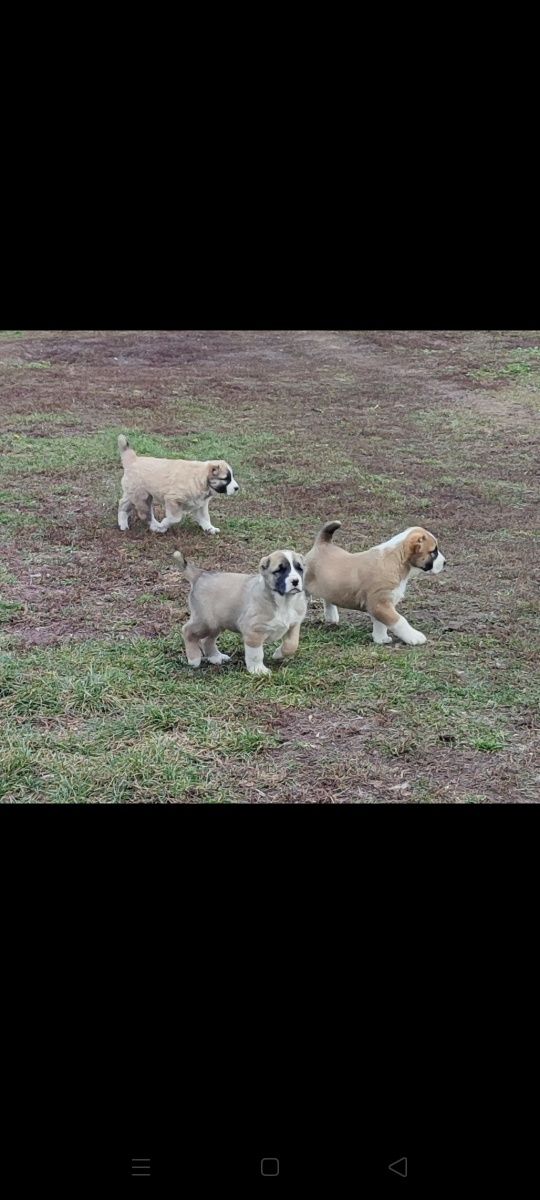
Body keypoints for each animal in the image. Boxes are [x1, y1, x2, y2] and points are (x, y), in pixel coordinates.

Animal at [174, 547, 306, 672]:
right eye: (279, 570)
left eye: (299, 568)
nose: (295, 581)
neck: (284, 602)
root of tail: (200, 575)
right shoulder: (253, 631)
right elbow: (256, 654)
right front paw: (258, 670)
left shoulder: (294, 625)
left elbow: (292, 644)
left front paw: (278, 654)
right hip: (206, 622)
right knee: (187, 631)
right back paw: (194, 659)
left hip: (217, 624)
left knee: (207, 640)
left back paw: (216, 657)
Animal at [306, 520, 444, 643]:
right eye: (433, 552)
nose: (445, 562)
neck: (396, 560)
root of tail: (321, 544)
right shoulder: (380, 604)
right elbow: (400, 621)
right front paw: (414, 637)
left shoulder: (379, 605)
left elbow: (380, 624)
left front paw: (381, 639)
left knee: (327, 599)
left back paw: (331, 617)